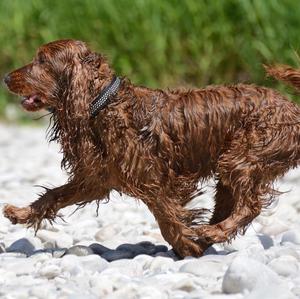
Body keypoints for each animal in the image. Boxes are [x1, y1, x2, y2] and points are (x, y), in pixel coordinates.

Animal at [2, 39, 300, 258]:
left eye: (41, 61)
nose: (5, 77)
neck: (104, 104)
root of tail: (294, 110)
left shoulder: (154, 181)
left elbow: (166, 218)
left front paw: (186, 246)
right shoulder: (95, 180)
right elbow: (52, 196)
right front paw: (20, 213)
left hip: (241, 159)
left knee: (250, 206)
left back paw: (211, 233)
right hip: (231, 170)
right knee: (230, 206)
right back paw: (208, 233)